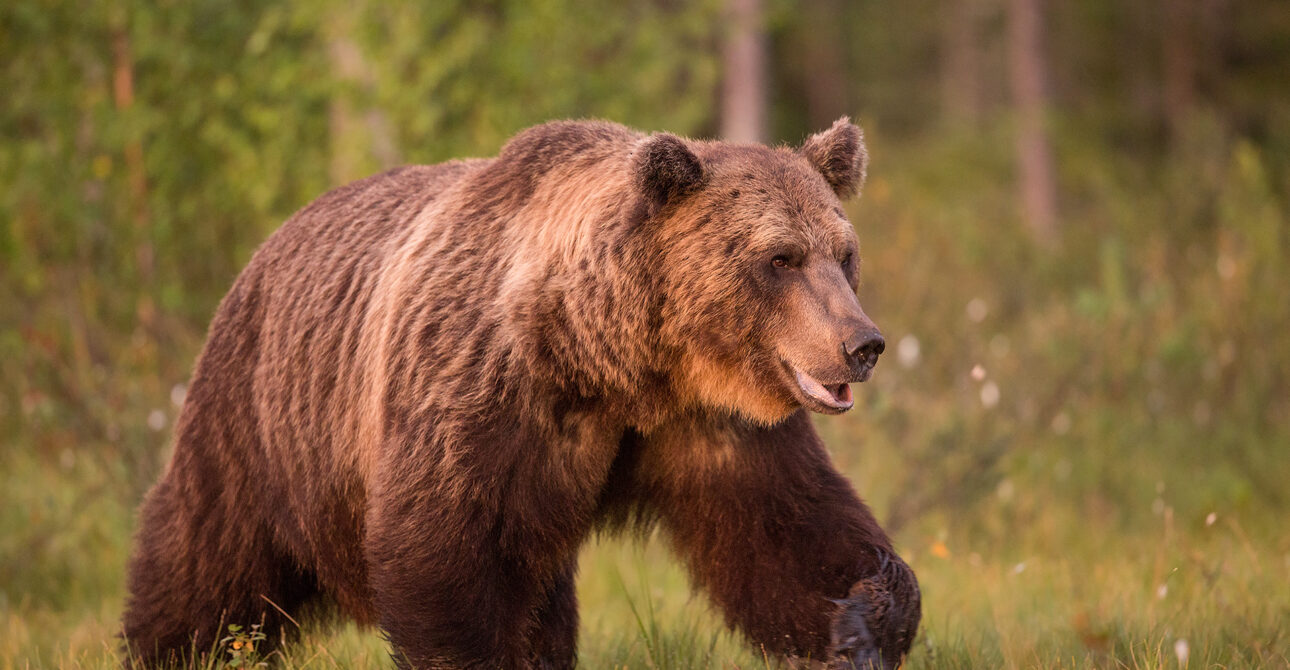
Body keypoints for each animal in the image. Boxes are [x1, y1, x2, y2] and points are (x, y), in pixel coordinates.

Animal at [122, 118, 920, 669]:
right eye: (780, 258)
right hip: (261, 419)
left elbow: (786, 530)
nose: (862, 344)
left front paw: (863, 618)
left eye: (843, 253)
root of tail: (270, 242)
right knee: (205, 561)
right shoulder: (483, 394)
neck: (612, 364)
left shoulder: (712, 424)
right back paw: (166, 646)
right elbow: (446, 554)